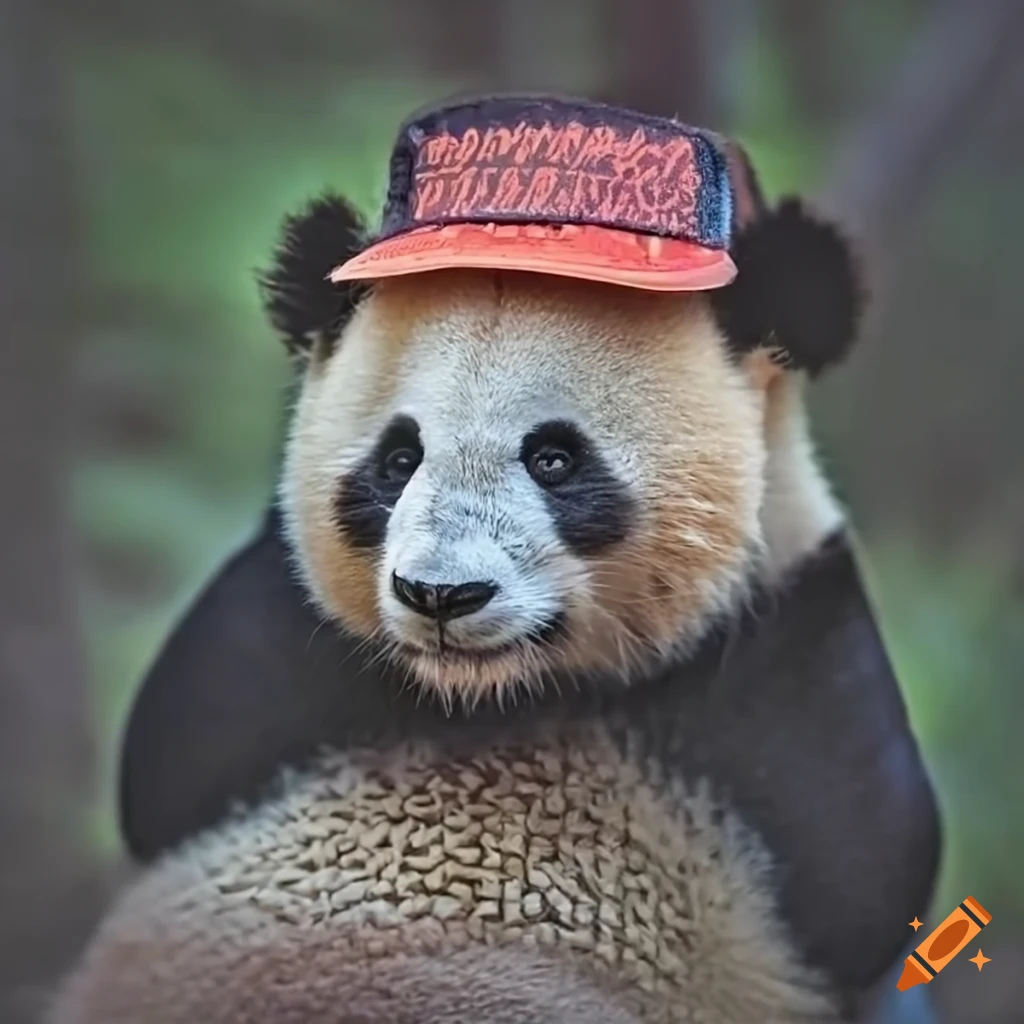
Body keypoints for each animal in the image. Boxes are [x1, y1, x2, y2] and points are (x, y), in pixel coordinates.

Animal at [52, 95, 940, 1024]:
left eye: (553, 460)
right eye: (398, 459)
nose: (440, 595)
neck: (488, 702)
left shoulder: (792, 652)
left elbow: (867, 863)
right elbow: (175, 745)